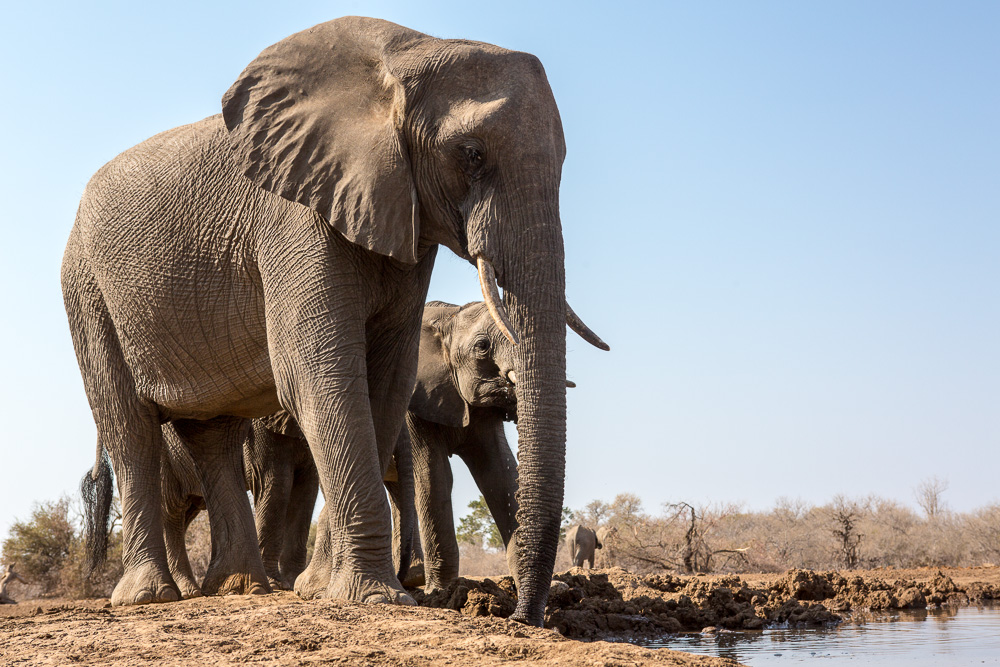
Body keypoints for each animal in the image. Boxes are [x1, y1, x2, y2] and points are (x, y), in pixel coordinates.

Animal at [70, 15, 604, 628]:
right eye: (470, 153)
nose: (523, 618)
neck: (407, 55)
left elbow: (388, 383)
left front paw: (326, 589)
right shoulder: (293, 219)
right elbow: (319, 375)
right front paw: (375, 598)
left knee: (211, 433)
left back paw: (240, 588)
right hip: (87, 291)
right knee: (129, 426)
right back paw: (153, 597)